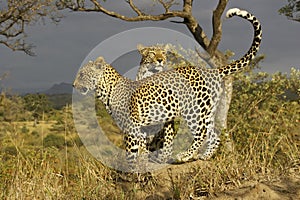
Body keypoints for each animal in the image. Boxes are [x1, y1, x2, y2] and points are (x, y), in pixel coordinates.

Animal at [73, 7, 262, 164]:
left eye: (82, 74)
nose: (74, 85)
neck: (106, 90)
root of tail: (211, 71)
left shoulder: (132, 127)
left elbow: (132, 152)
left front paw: (133, 168)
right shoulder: (142, 127)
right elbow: (143, 148)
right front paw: (144, 163)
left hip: (193, 109)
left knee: (201, 132)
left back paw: (184, 156)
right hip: (208, 109)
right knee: (213, 135)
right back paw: (204, 156)